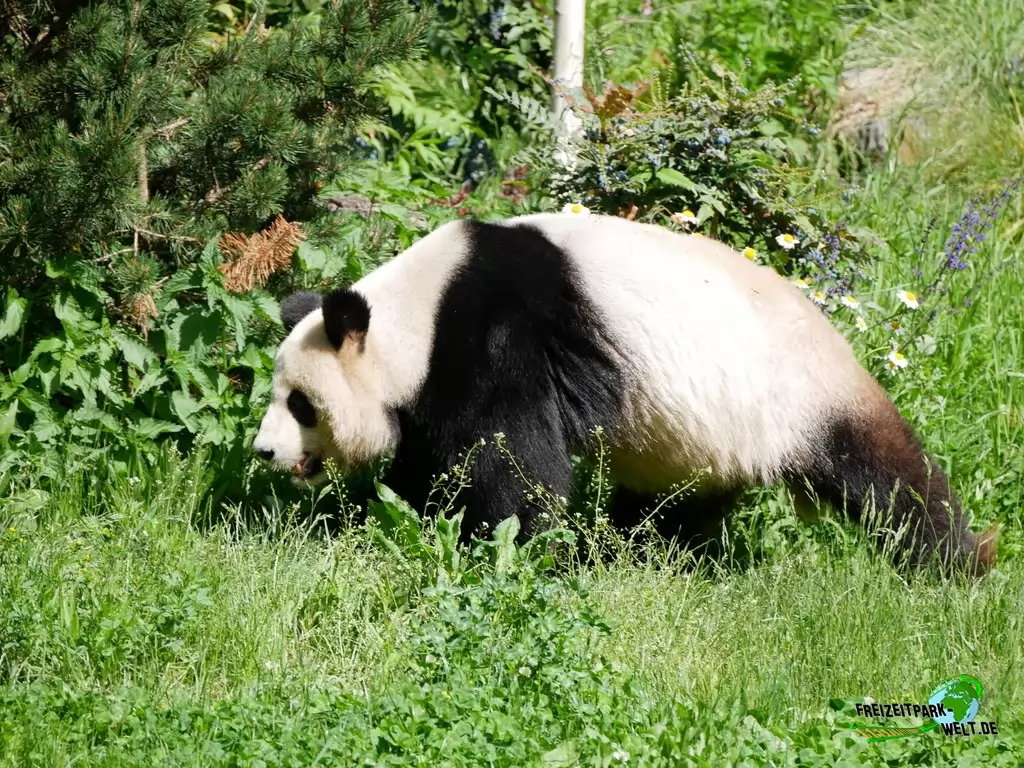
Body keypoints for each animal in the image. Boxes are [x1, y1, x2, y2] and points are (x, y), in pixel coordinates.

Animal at [253, 212, 997, 575]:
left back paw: (959, 563)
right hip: (699, 435)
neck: (416, 310)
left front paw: (511, 549)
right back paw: (642, 551)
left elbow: (510, 460)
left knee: (883, 476)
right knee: (673, 503)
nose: (264, 452)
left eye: (300, 403)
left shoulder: (495, 333)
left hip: (795, 392)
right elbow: (429, 463)